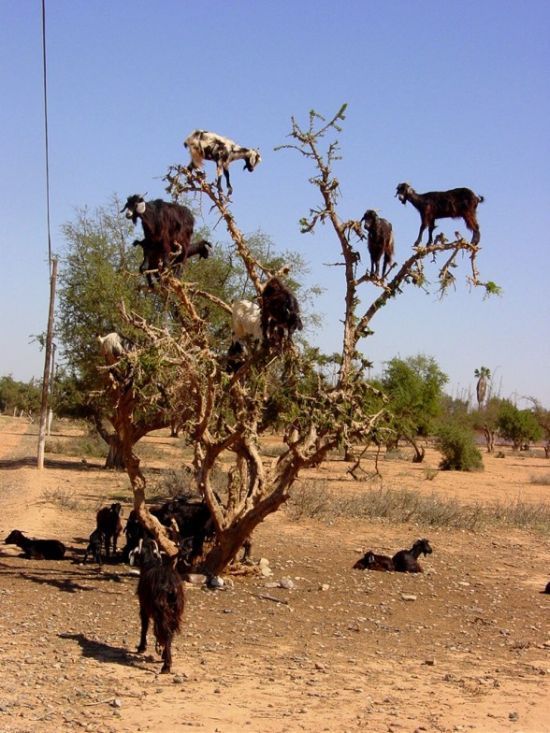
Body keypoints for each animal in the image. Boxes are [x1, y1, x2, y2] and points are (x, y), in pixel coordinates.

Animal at [130, 536, 187, 672]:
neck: (150, 564)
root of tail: (170, 585)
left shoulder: (143, 606)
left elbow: (144, 626)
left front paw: (141, 647)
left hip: (161, 611)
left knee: (167, 633)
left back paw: (166, 666)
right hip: (174, 611)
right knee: (170, 632)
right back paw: (165, 657)